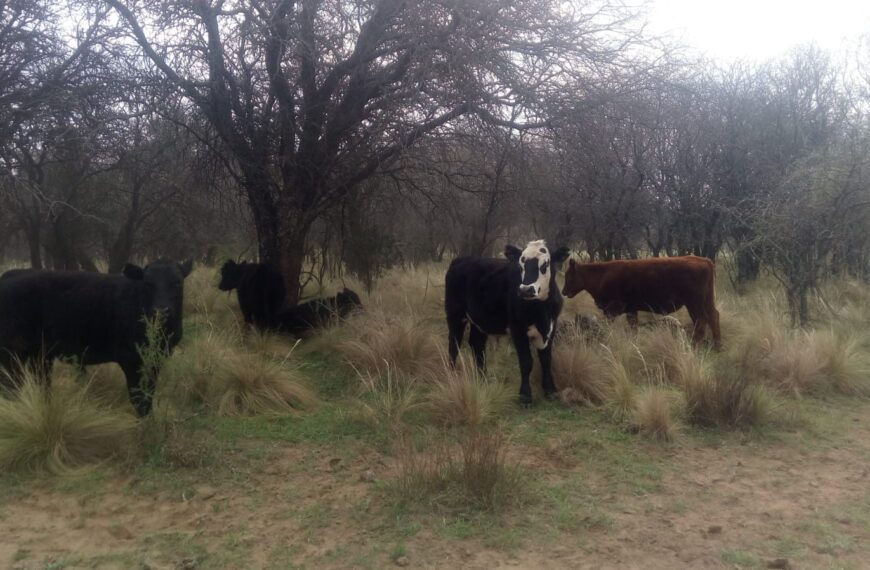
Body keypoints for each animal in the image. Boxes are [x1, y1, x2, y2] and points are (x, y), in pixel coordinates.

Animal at [0, 260, 192, 414]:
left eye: (177, 282)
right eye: (148, 283)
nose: (162, 311)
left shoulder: (157, 359)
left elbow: (148, 395)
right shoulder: (130, 359)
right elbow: (139, 399)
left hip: (40, 356)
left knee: (41, 386)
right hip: (11, 355)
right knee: (11, 389)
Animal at [450, 239, 572, 404]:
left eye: (545, 265)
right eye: (521, 265)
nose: (526, 289)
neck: (541, 311)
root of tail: (462, 259)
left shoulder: (550, 327)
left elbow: (546, 360)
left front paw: (550, 391)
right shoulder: (517, 329)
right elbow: (526, 362)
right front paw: (525, 396)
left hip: (480, 320)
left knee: (477, 345)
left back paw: (482, 379)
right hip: (455, 314)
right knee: (454, 345)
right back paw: (451, 375)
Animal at [564, 254, 724, 346]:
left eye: (569, 276)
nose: (563, 291)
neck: (602, 274)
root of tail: (703, 260)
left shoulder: (612, 310)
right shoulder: (631, 310)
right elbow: (633, 328)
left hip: (694, 303)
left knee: (701, 320)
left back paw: (695, 345)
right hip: (706, 301)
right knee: (713, 316)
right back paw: (717, 346)